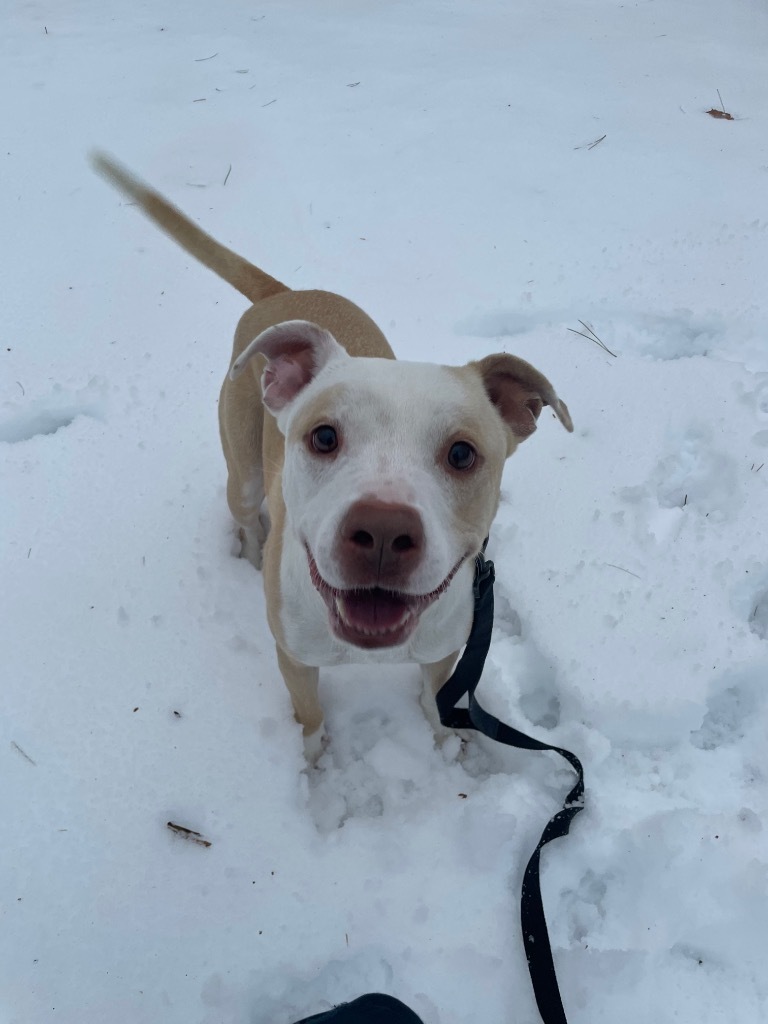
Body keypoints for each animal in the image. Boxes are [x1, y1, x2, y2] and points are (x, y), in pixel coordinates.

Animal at [93, 153, 573, 761]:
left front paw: (448, 747)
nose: (383, 531)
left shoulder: (445, 651)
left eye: (463, 453)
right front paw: (313, 763)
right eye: (324, 437)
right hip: (243, 472)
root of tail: (280, 294)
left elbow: (436, 702)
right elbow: (312, 714)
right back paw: (252, 550)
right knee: (244, 510)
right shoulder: (294, 658)